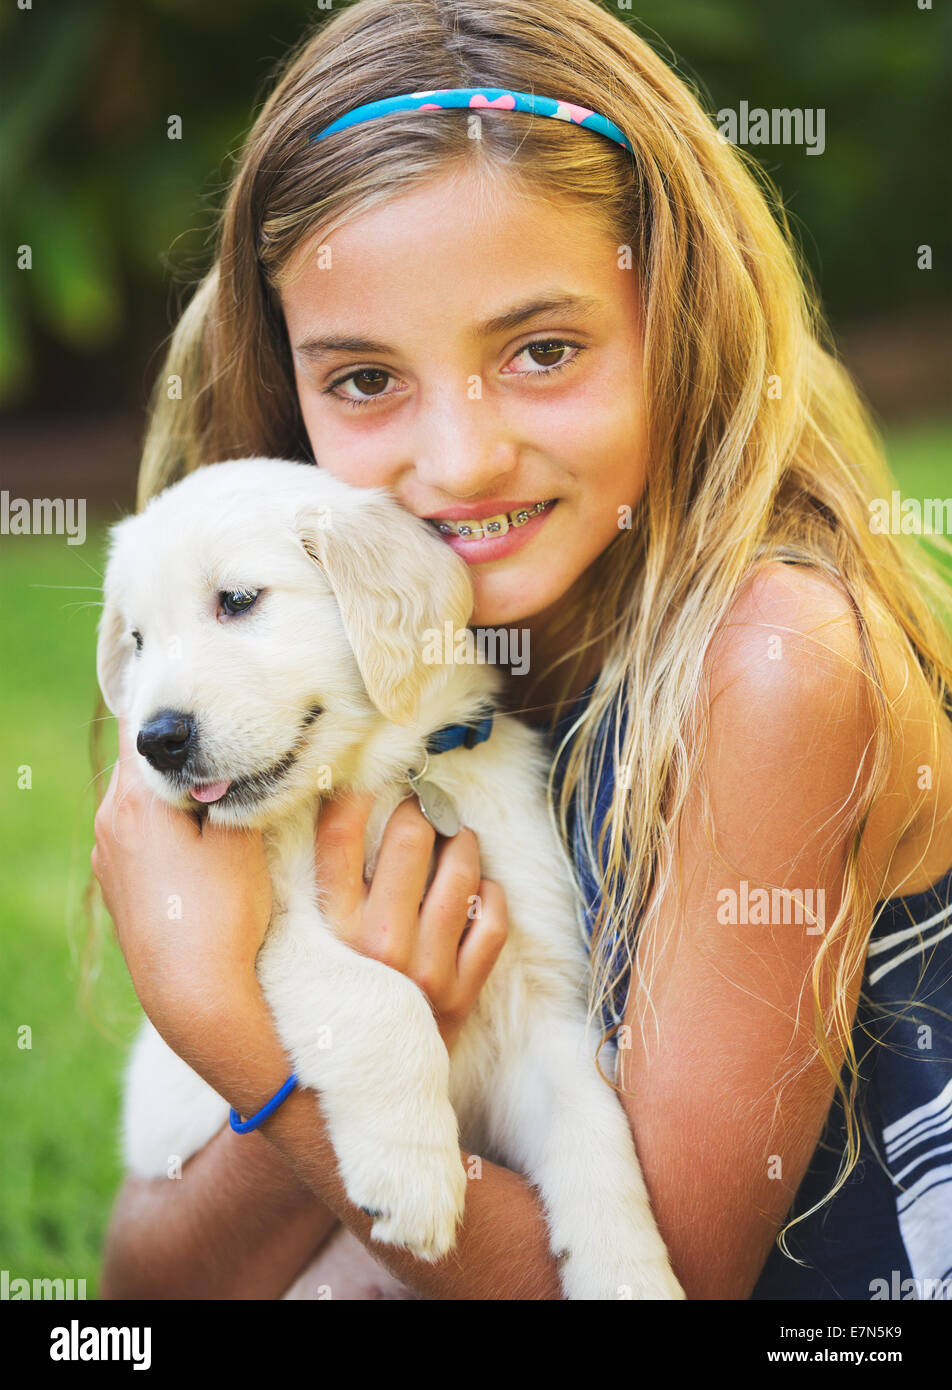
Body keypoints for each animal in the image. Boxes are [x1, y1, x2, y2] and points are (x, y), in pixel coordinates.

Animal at [98, 461, 683, 1295]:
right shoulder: (276, 934)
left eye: (237, 600)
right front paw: (415, 1181)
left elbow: (597, 1129)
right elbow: (383, 997)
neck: (378, 777)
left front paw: (630, 1273)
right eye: (139, 640)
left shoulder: (539, 999)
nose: (156, 740)